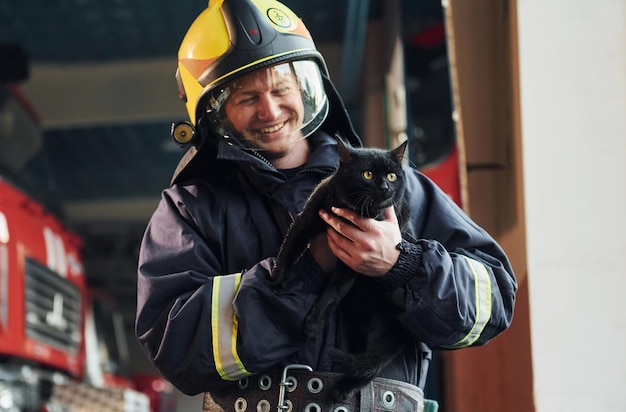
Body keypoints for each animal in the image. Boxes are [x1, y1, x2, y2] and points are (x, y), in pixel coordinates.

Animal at [270, 137, 412, 400]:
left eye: (391, 176)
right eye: (367, 174)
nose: (384, 188)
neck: (353, 211)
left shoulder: (354, 260)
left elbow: (333, 292)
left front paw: (313, 324)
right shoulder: (306, 219)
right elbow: (289, 248)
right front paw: (277, 280)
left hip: (370, 319)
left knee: (371, 367)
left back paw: (341, 390)